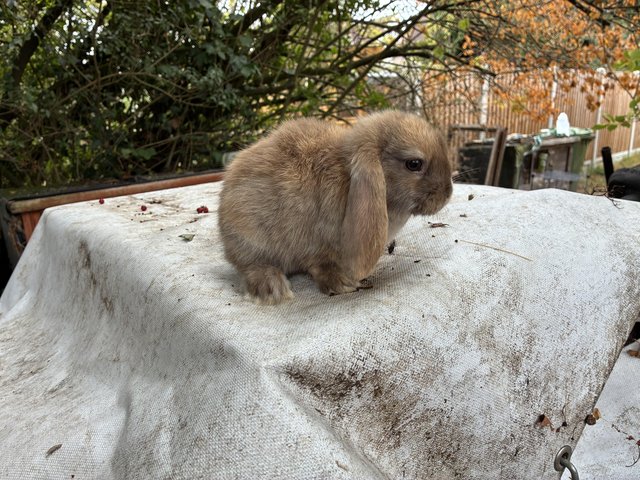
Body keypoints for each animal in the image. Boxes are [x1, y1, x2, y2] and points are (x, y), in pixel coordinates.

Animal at [218, 110, 453, 305]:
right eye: (414, 164)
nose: (447, 194)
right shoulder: (316, 243)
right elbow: (321, 265)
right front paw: (343, 284)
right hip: (249, 237)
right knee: (250, 265)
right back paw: (271, 290)